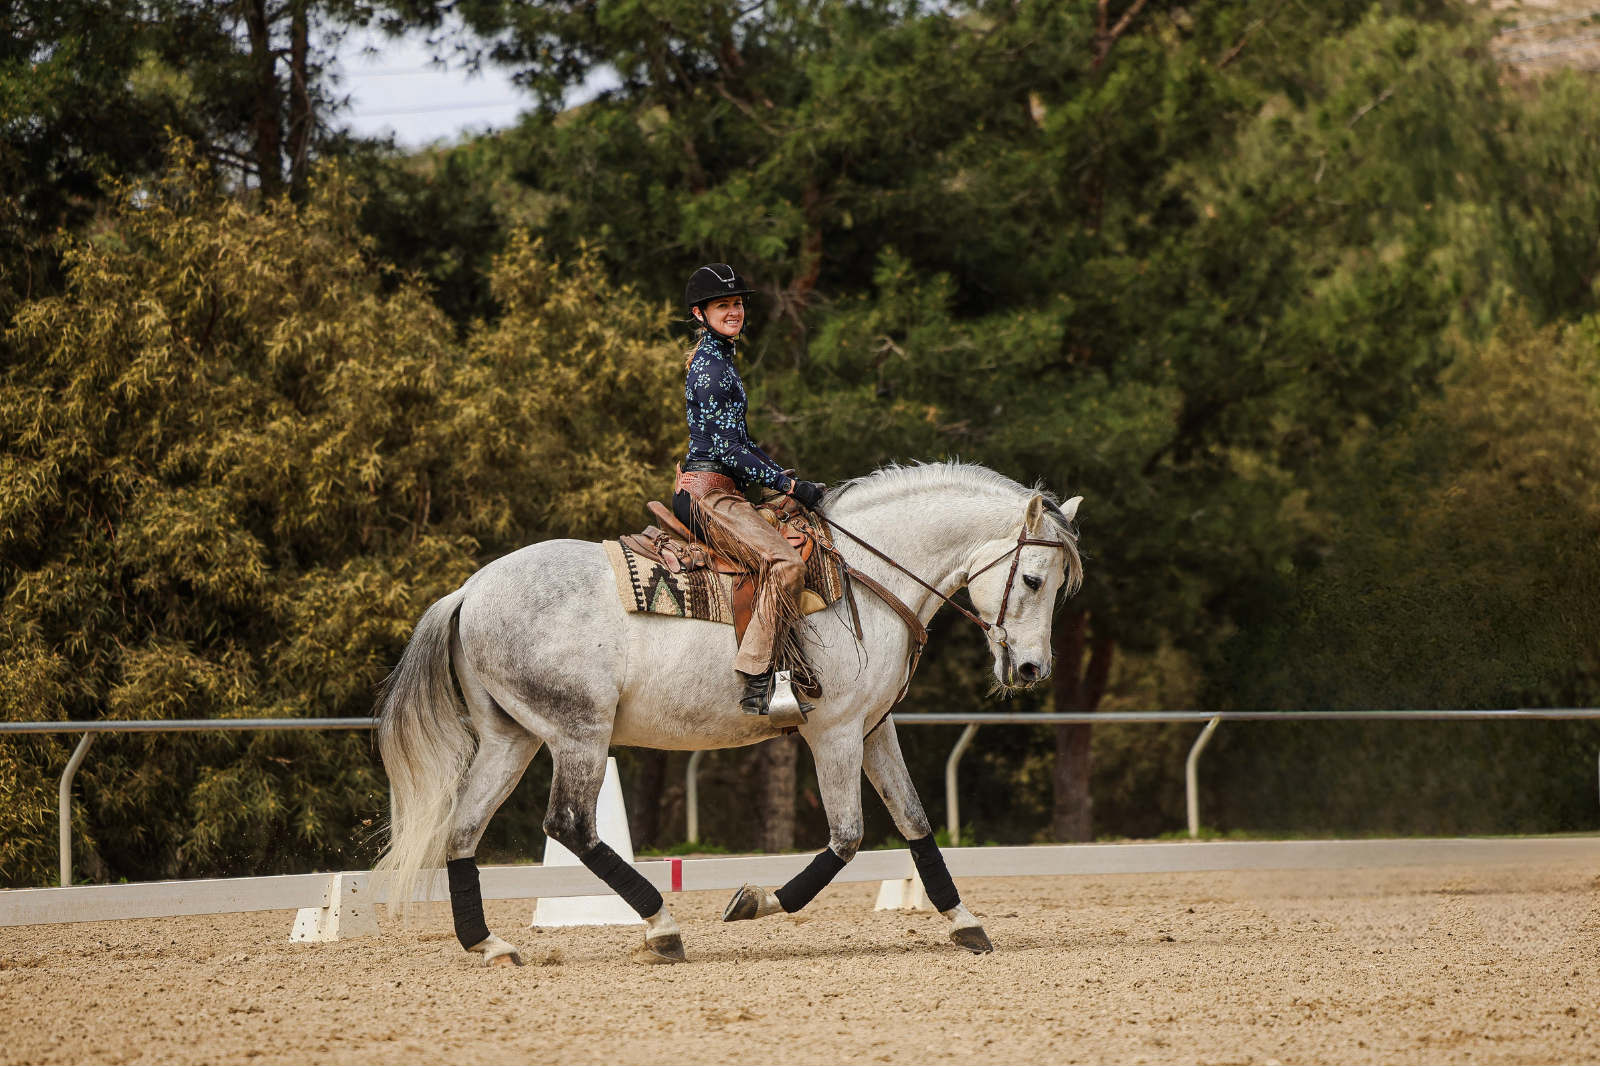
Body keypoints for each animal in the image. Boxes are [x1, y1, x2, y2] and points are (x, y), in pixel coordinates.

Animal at [374, 461, 1083, 966]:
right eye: (1033, 580)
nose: (1031, 670)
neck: (865, 572)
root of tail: (469, 591)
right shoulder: (834, 733)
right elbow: (848, 838)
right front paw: (755, 901)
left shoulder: (874, 729)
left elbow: (914, 821)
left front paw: (965, 921)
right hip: (579, 735)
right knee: (570, 825)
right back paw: (661, 928)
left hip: (512, 740)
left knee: (463, 831)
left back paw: (489, 943)